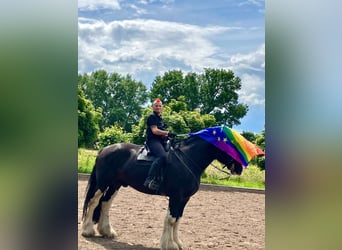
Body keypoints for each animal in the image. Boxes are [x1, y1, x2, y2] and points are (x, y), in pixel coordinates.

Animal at [82, 136, 243, 249]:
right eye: (231, 147)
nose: (240, 168)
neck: (187, 159)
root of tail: (105, 149)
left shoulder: (184, 199)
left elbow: (178, 219)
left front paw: (177, 243)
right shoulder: (176, 197)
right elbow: (171, 220)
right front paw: (169, 245)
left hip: (115, 184)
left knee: (105, 203)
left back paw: (107, 231)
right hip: (103, 183)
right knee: (93, 202)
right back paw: (88, 230)